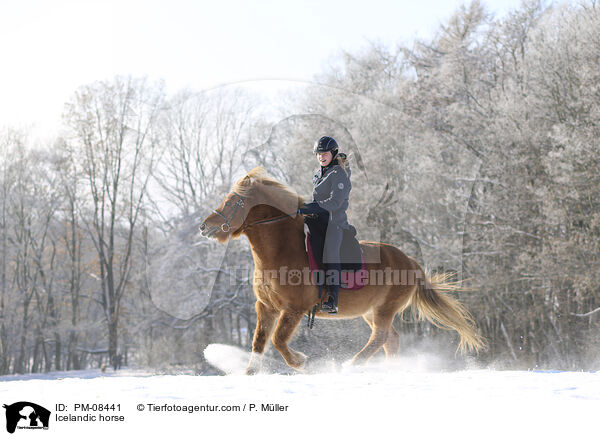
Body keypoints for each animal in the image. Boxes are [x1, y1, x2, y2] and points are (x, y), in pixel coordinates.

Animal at [199, 167, 486, 374]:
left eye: (232, 201)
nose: (204, 226)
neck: (281, 250)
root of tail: (410, 261)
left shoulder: (294, 309)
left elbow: (278, 340)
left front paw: (301, 362)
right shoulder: (266, 306)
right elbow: (259, 341)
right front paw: (250, 373)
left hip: (385, 309)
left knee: (381, 337)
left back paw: (352, 364)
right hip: (371, 311)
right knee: (390, 339)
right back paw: (389, 369)